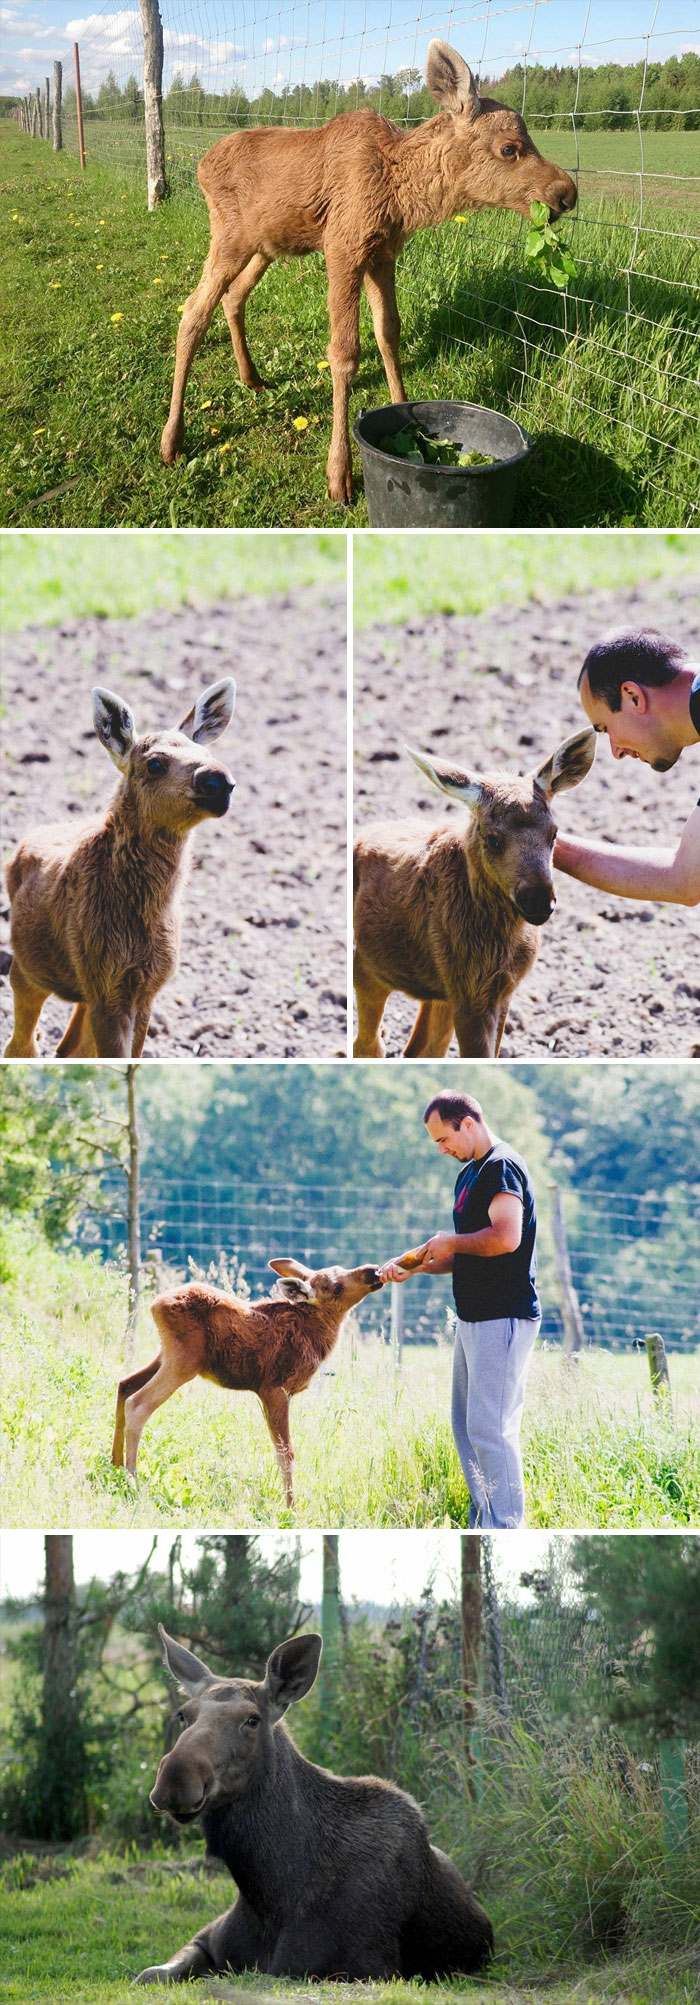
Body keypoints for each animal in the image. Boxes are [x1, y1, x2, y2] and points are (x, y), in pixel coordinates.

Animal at [3, 679, 235, 1060]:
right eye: (155, 764)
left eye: (206, 752)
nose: (219, 780)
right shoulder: (108, 987)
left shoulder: (143, 989)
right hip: (27, 971)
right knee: (22, 1046)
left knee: (69, 1048)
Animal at [111, 1257, 385, 1505]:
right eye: (336, 1288)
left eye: (341, 1268)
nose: (372, 1271)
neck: (317, 1335)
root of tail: (155, 1304)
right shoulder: (275, 1388)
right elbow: (286, 1452)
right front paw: (291, 1507)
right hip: (183, 1361)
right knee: (138, 1404)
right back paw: (131, 1481)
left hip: (165, 1356)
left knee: (124, 1384)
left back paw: (115, 1466)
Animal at [135, 1625, 494, 1985]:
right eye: (183, 1714)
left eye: (252, 1719)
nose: (176, 1777)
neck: (268, 1893)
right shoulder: (208, 1940)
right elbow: (150, 1973)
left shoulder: (353, 1968)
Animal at [160, 39, 577, 502]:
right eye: (509, 148)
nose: (566, 192)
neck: (398, 195)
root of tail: (201, 164)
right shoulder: (343, 247)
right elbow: (344, 353)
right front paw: (339, 473)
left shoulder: (382, 254)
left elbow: (388, 330)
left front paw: (405, 414)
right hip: (229, 237)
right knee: (193, 311)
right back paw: (172, 440)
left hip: (265, 246)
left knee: (233, 297)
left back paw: (251, 378)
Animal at [353, 727, 597, 1059]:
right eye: (493, 839)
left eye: (554, 834)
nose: (538, 901)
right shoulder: (470, 992)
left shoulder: (498, 990)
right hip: (369, 968)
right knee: (369, 1044)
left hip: (438, 990)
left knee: (418, 1048)